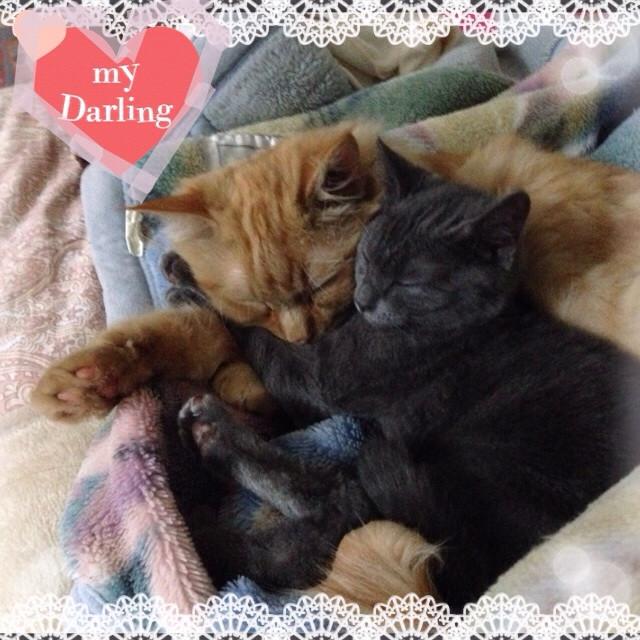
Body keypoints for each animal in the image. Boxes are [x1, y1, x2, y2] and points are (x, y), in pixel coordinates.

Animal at [175, 147, 640, 611]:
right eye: (365, 258)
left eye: (409, 281)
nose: (363, 300)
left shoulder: (327, 376)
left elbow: (265, 341)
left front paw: (186, 279)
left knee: (340, 514)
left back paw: (209, 521)